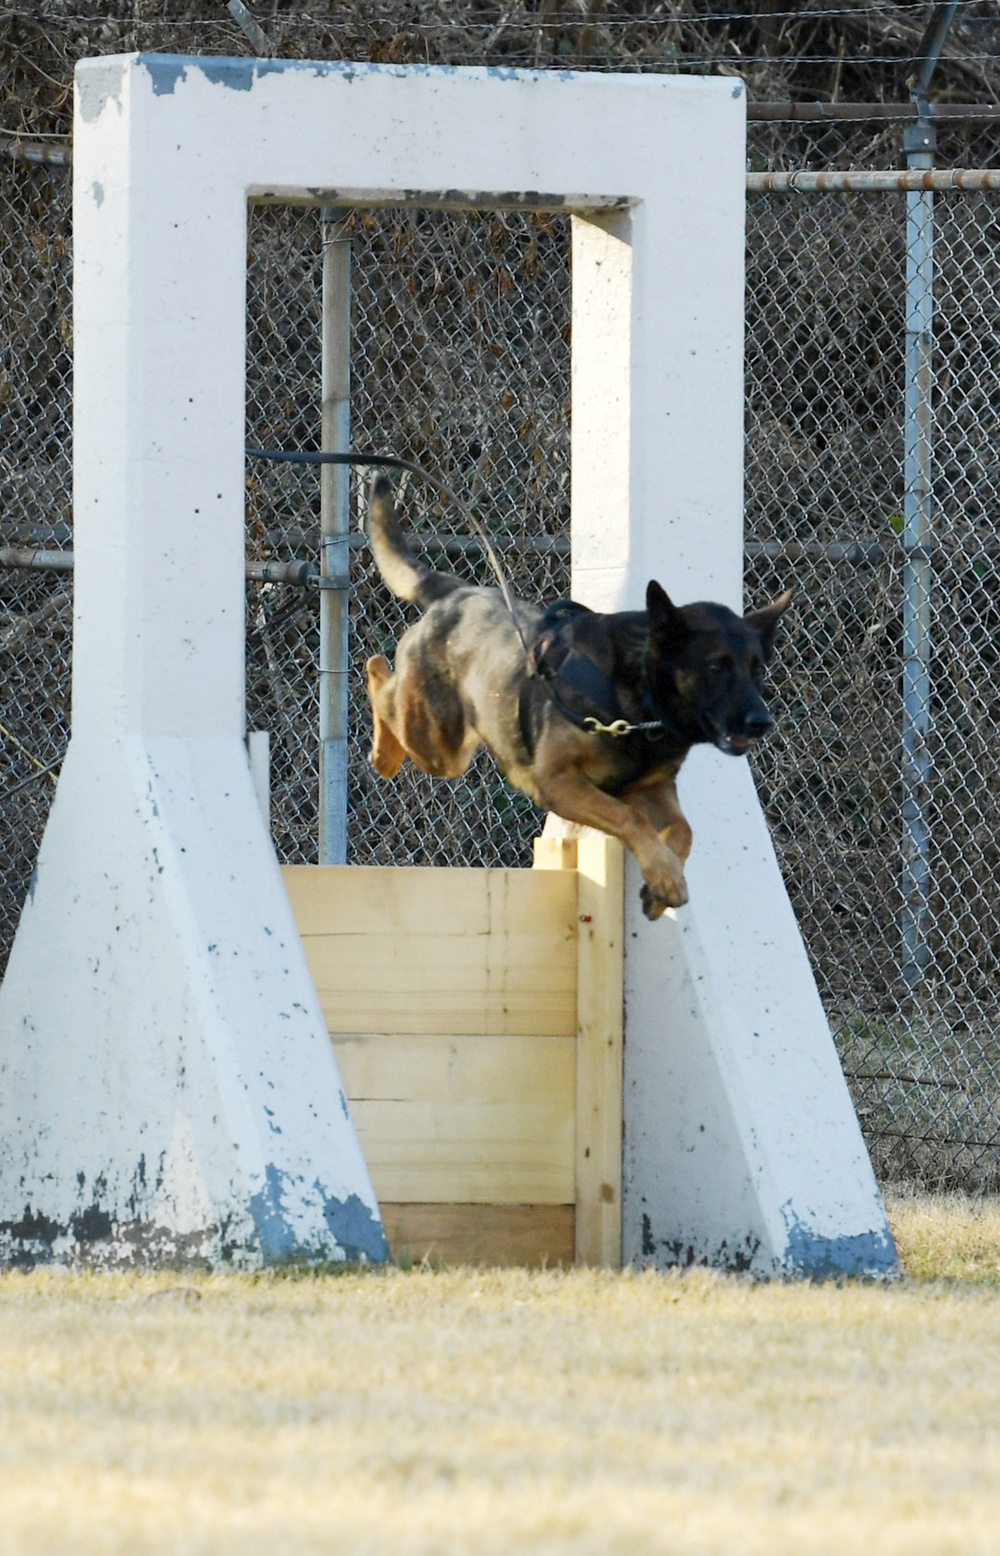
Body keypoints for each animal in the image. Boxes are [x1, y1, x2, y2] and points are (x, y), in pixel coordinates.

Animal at [363, 479, 793, 914]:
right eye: (716, 667)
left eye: (758, 670)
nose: (762, 722)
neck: (637, 702)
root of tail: (459, 592)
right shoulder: (559, 784)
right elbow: (629, 818)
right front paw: (666, 876)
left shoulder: (650, 789)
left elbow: (684, 830)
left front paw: (662, 880)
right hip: (438, 742)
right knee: (379, 678)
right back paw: (382, 749)